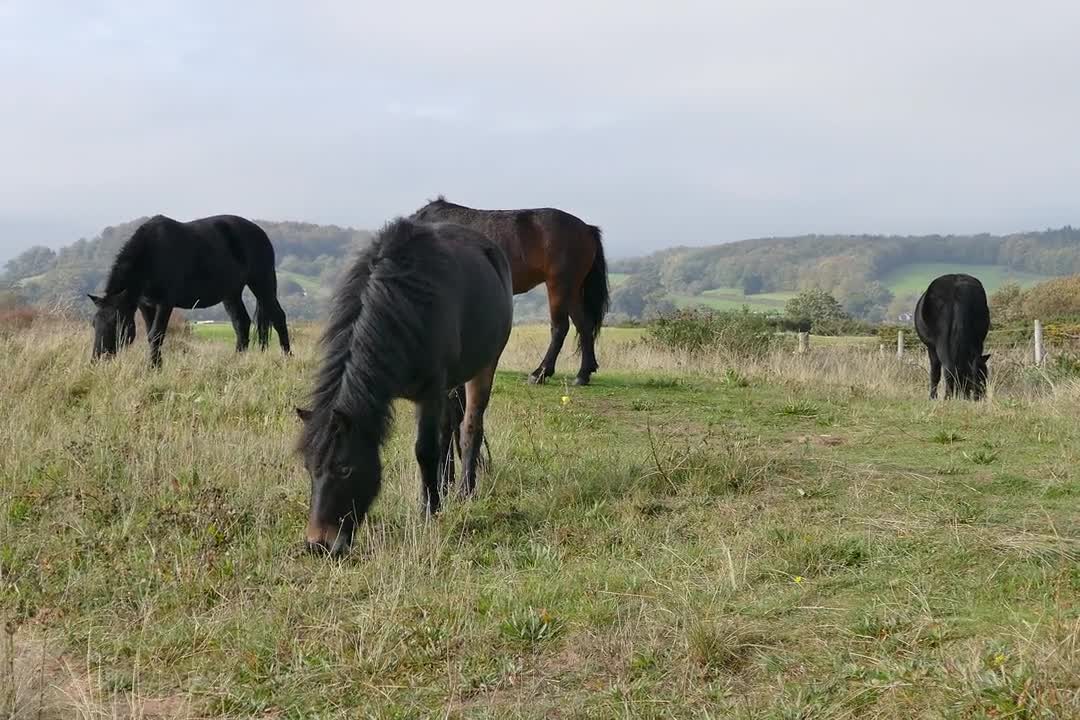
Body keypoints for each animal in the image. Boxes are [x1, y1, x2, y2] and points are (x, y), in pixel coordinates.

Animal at [88, 213, 291, 367]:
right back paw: (238, 359)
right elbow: (151, 334)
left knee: (278, 317)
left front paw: (153, 368)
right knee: (241, 323)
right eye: (94, 323)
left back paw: (287, 357)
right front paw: (157, 366)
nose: (97, 359)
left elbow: (157, 334)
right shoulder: (146, 304)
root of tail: (260, 232)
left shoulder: (165, 303)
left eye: (116, 323)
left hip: (262, 283)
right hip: (231, 293)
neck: (151, 254)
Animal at [295, 218, 514, 557]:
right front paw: (436, 497)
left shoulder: (430, 391)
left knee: (469, 427)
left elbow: (425, 450)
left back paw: (464, 492)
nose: (319, 545)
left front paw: (429, 511)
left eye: (344, 469)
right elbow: (437, 443)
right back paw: (446, 485)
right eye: (309, 468)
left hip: (483, 367)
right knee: (449, 429)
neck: (403, 306)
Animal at [410, 194, 609, 386]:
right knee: (584, 325)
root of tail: (586, 229)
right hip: (573, 290)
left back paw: (540, 373)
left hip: (559, 286)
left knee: (560, 328)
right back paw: (583, 374)